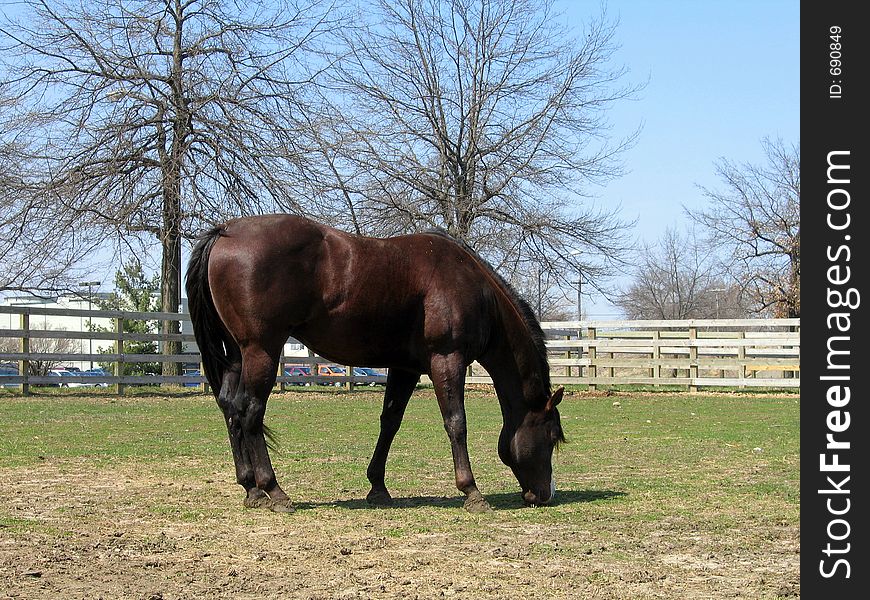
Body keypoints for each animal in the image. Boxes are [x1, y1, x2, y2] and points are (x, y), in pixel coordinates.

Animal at [186, 213, 564, 512]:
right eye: (551, 436)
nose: (545, 495)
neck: (475, 288)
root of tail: (226, 231)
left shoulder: (405, 369)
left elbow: (390, 423)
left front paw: (378, 487)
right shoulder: (447, 360)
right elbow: (456, 423)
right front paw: (471, 491)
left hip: (238, 354)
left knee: (230, 408)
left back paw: (251, 488)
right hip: (261, 350)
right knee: (250, 410)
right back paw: (274, 490)